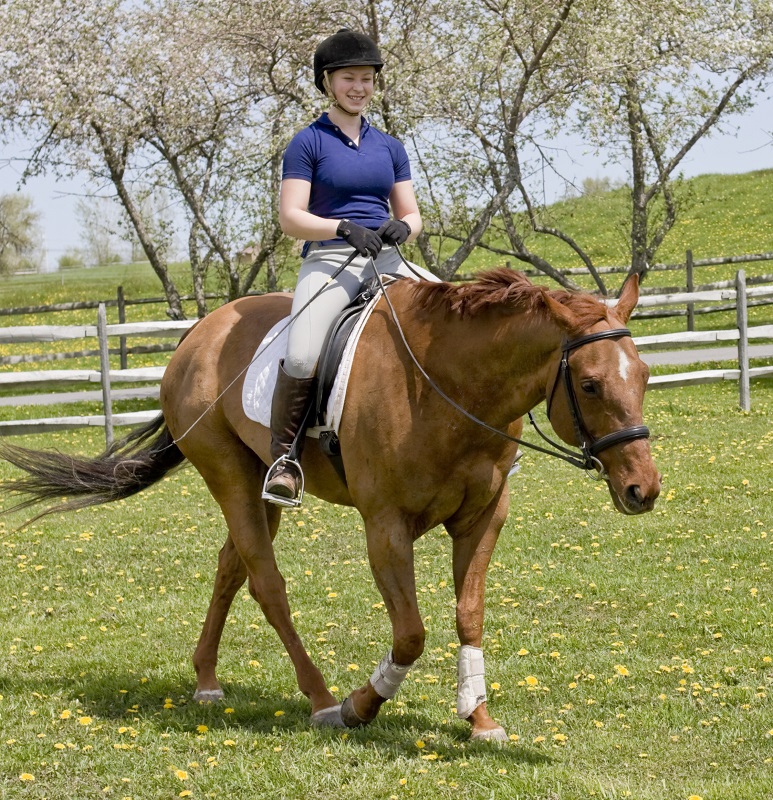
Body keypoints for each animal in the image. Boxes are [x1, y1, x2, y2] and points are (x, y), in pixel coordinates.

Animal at [0, 267, 660, 741]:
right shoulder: (386, 526)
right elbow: (410, 634)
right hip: (228, 476)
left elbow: (468, 614)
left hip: (259, 486)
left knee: (230, 568)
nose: (643, 490)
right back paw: (319, 699)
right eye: (590, 384)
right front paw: (361, 706)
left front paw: (478, 717)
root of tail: (199, 332)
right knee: (266, 583)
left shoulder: (482, 519)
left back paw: (208, 680)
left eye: (645, 375)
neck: (447, 386)